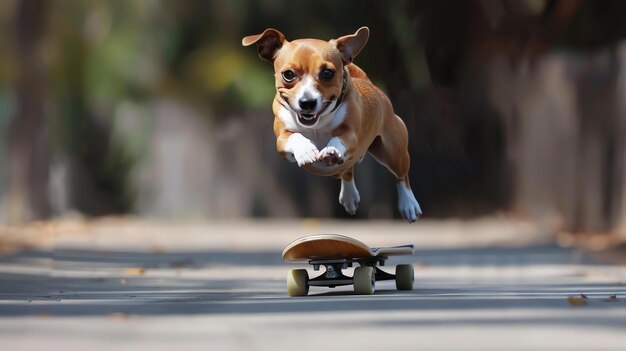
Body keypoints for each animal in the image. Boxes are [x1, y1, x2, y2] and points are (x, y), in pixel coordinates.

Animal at [241, 26, 422, 223]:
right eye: (288, 75)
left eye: (327, 73)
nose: (307, 102)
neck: (316, 124)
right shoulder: (282, 141)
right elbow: (295, 136)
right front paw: (306, 150)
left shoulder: (350, 135)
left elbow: (338, 139)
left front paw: (331, 151)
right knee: (348, 170)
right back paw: (350, 196)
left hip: (392, 150)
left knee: (401, 176)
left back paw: (408, 204)